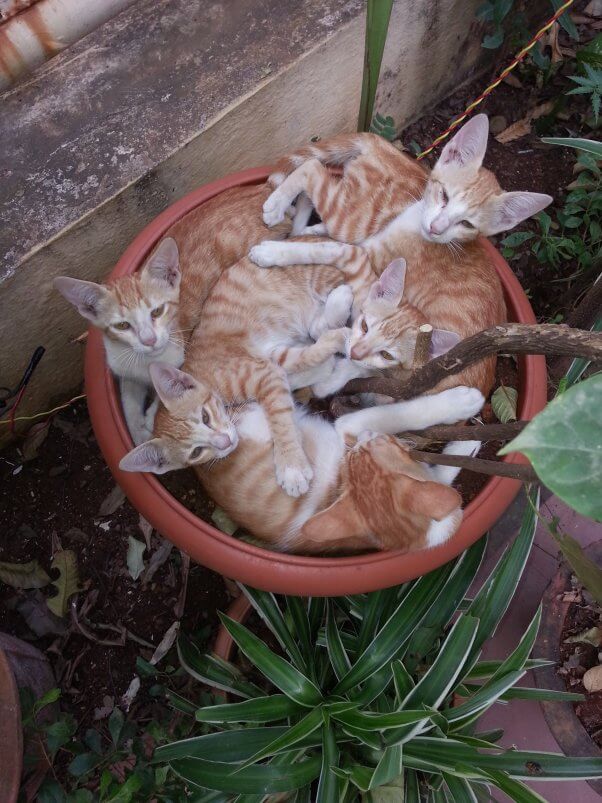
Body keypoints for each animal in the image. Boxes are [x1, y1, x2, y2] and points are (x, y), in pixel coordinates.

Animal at [119, 368, 480, 556]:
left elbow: (444, 475)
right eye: (195, 451)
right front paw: (460, 403)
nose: (223, 443)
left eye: (206, 417)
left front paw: (468, 444)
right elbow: (400, 412)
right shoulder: (348, 428)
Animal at [247, 112, 548, 398]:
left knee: (315, 172)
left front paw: (271, 251)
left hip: (349, 219)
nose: (436, 228)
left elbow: (323, 248)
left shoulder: (367, 255)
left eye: (467, 224)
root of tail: (384, 145)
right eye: (444, 196)